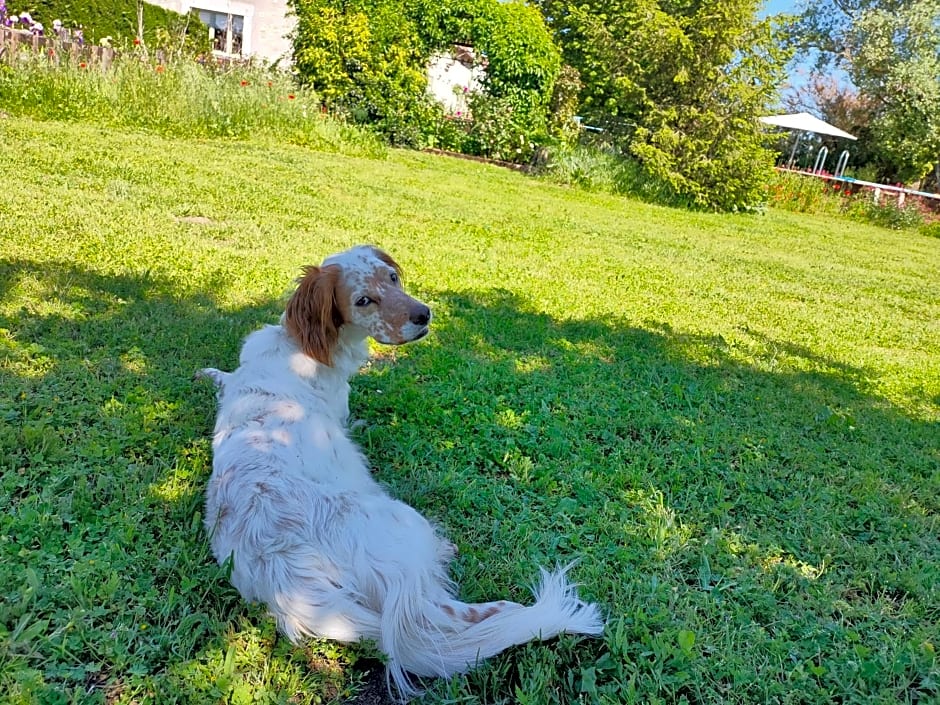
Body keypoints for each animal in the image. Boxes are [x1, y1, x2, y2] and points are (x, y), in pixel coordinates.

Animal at [202, 245, 604, 696]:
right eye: (363, 300)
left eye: (392, 277)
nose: (423, 314)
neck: (300, 347)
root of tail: (282, 567)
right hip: (402, 525)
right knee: (445, 616)